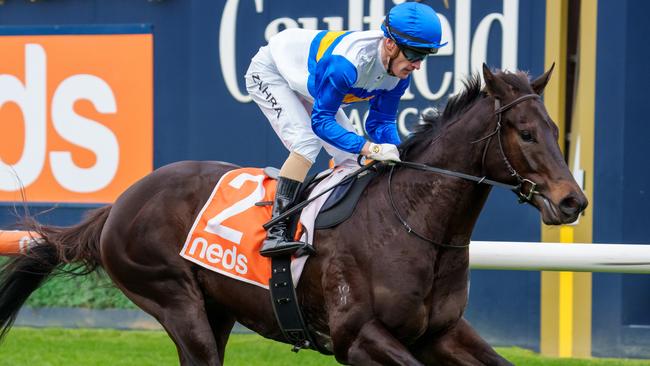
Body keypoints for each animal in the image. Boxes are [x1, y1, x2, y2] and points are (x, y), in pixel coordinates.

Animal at [0, 64, 588, 364]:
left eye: (556, 129)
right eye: (526, 133)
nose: (573, 201)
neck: (413, 224)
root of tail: (122, 201)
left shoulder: (441, 333)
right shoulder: (359, 338)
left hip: (217, 310)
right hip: (172, 299)